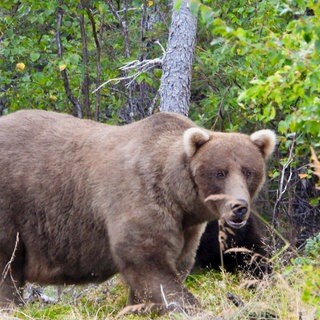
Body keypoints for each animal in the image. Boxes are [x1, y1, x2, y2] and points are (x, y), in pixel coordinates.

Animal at [0, 110, 276, 316]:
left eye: (248, 171)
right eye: (219, 172)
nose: (238, 207)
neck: (177, 195)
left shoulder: (187, 227)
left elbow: (176, 264)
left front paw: (139, 307)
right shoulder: (141, 198)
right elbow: (149, 263)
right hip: (12, 206)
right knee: (8, 266)